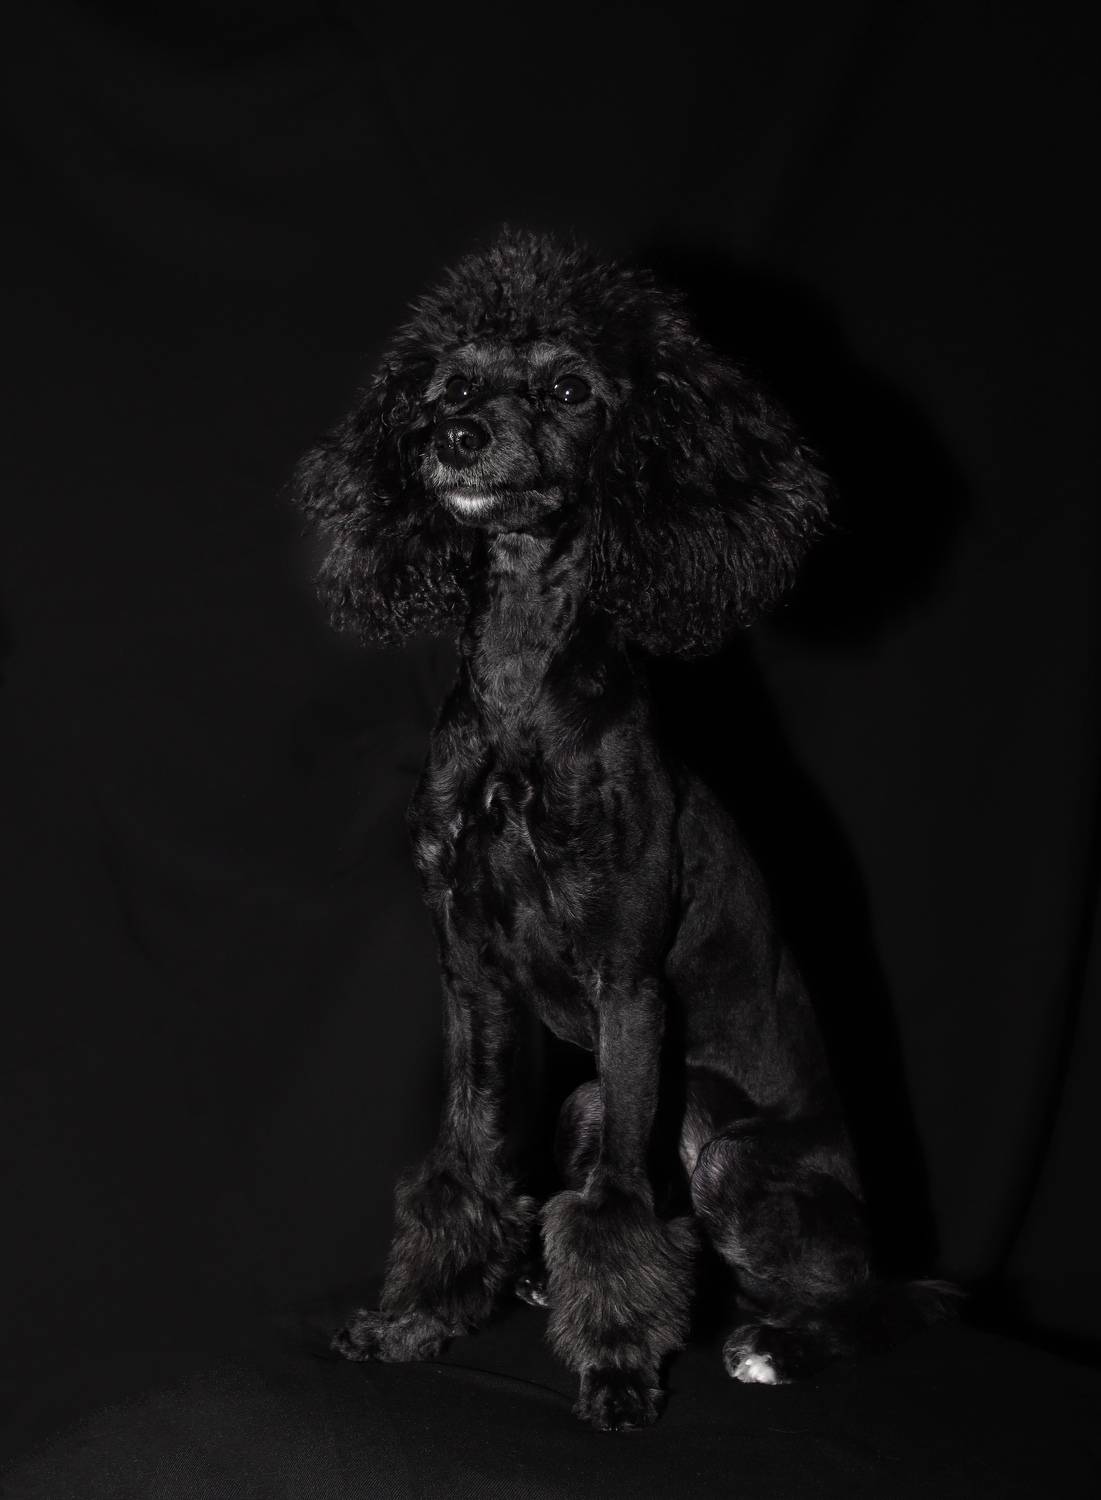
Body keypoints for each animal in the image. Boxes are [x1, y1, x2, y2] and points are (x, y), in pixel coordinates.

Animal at [294, 228, 952, 1430]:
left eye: (568, 388)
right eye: (448, 386)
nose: (452, 437)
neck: (520, 682)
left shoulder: (626, 979)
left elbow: (613, 1212)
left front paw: (612, 1371)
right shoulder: (472, 976)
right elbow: (465, 1166)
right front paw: (418, 1320)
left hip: (735, 1150)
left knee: (869, 1302)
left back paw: (774, 1345)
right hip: (591, 1097)